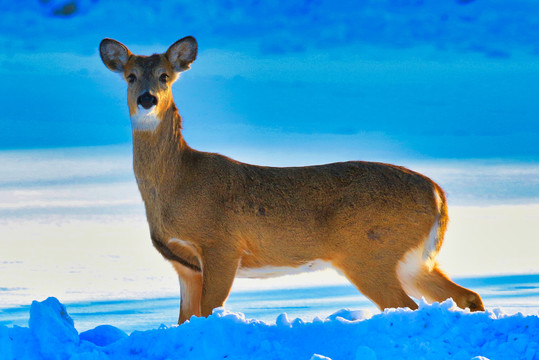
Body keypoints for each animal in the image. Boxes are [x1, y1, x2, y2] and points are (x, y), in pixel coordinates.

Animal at [100, 35, 486, 324]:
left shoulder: (221, 245)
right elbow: (185, 320)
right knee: (467, 296)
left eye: (165, 75)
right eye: (130, 76)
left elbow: (209, 312)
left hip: (370, 253)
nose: (147, 99)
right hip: (412, 260)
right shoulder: (184, 265)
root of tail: (437, 194)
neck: (178, 182)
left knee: (409, 306)